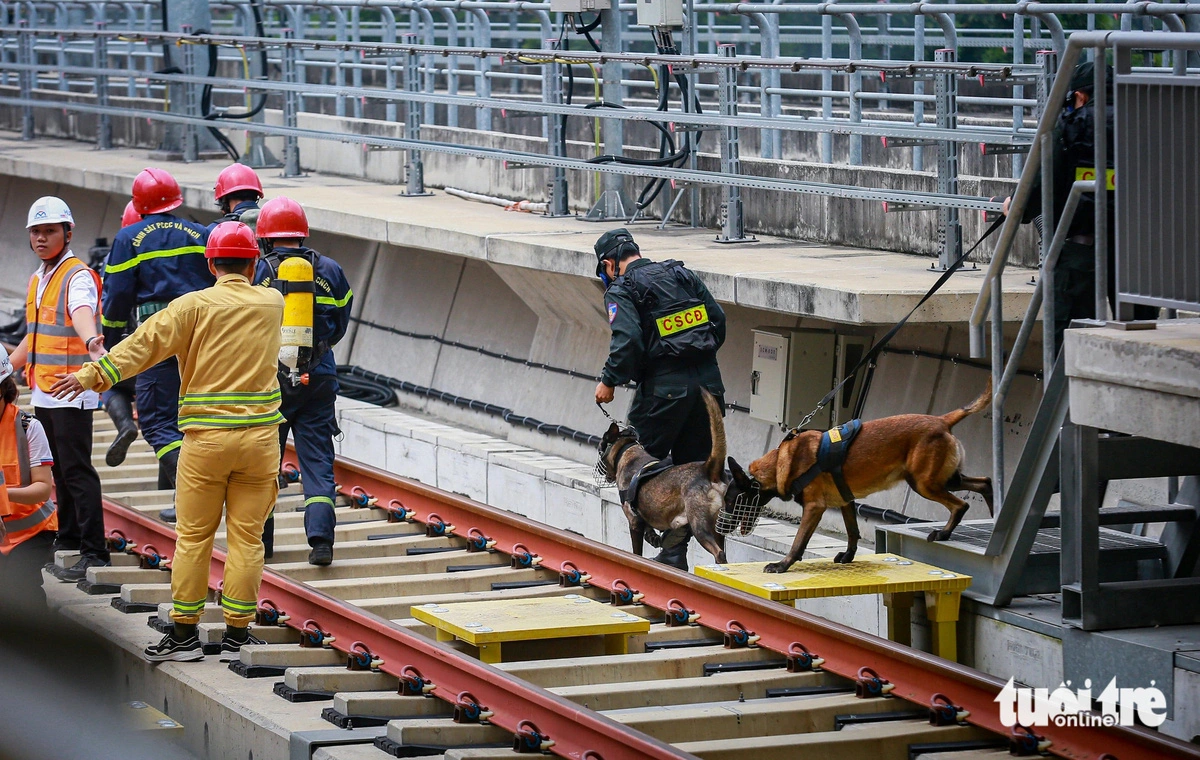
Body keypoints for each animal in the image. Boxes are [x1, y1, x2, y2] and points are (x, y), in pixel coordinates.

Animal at [744, 381, 998, 571]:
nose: (739, 528)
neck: (782, 460)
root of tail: (942, 420)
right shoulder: (845, 501)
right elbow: (852, 532)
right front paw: (848, 556)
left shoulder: (814, 507)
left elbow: (798, 542)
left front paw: (782, 565)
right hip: (942, 479)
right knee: (984, 483)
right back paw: (993, 514)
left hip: (925, 484)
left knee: (961, 505)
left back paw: (943, 533)